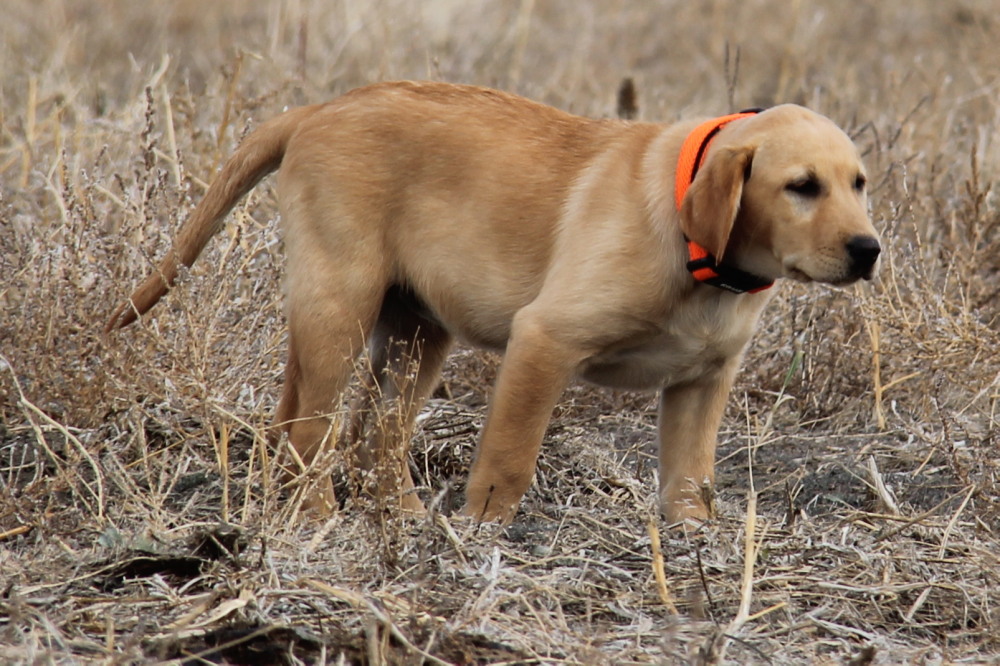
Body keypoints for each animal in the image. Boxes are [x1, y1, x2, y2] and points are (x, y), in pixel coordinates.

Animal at [105, 79, 880, 524]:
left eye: (858, 183)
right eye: (802, 186)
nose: (869, 250)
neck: (710, 266)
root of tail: (319, 110)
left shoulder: (702, 382)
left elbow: (691, 480)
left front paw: (695, 550)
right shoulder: (544, 340)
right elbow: (510, 456)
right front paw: (485, 531)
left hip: (415, 333)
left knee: (371, 436)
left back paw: (404, 516)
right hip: (340, 304)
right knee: (310, 431)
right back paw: (316, 518)